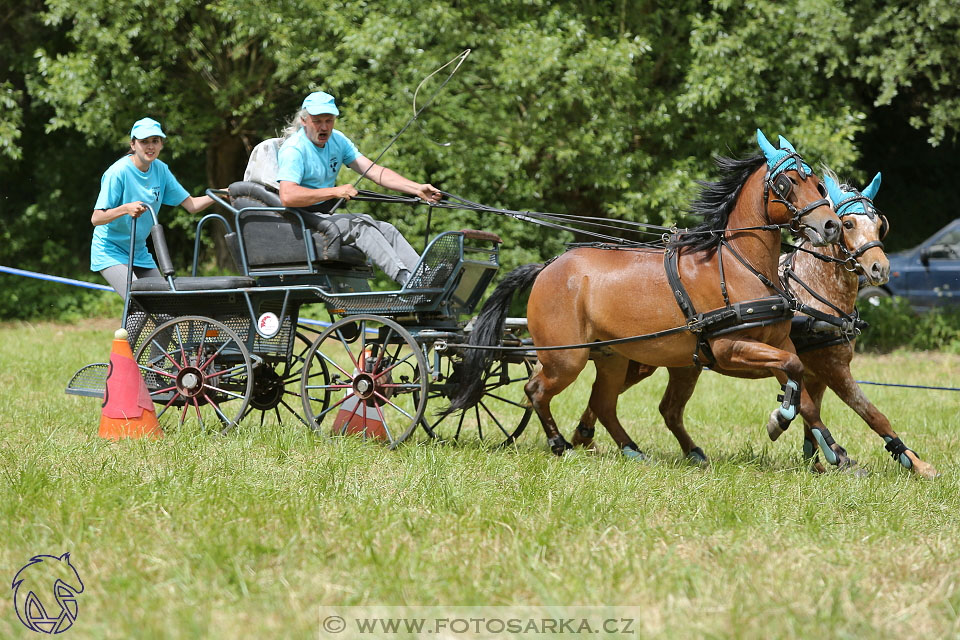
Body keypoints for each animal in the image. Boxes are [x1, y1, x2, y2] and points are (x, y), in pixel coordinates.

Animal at [450, 130, 840, 458]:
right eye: (786, 183)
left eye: (818, 184)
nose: (830, 226)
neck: (738, 266)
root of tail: (546, 267)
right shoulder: (729, 349)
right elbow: (793, 373)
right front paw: (779, 420)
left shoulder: (778, 343)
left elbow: (802, 388)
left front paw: (835, 452)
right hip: (567, 358)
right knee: (536, 391)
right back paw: (561, 444)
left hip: (610, 356)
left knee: (602, 402)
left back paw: (632, 449)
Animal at [568, 172, 936, 478]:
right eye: (847, 224)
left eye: (880, 226)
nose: (879, 268)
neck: (810, 292)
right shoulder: (829, 368)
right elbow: (868, 413)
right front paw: (910, 463)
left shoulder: (817, 369)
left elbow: (812, 411)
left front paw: (818, 457)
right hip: (644, 360)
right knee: (609, 397)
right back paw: (586, 438)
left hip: (679, 365)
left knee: (653, 406)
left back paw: (592, 439)